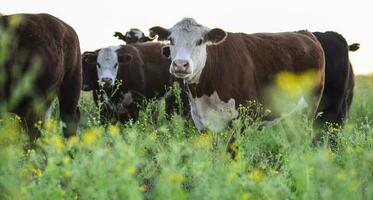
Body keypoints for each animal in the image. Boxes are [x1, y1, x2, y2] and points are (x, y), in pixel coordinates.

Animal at [150, 17, 324, 133]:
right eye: (171, 40)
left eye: (199, 41)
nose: (180, 64)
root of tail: (304, 33)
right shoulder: (202, 123)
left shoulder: (246, 117)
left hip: (310, 107)